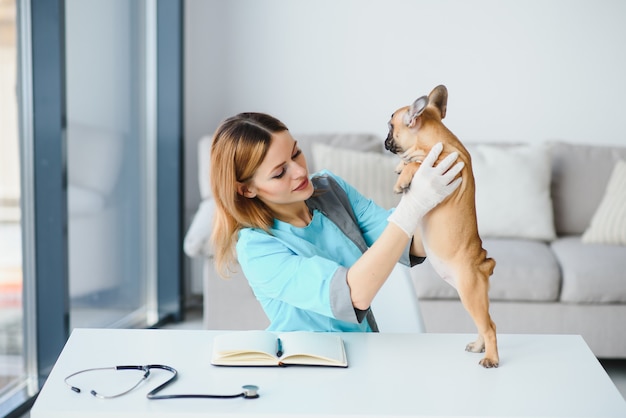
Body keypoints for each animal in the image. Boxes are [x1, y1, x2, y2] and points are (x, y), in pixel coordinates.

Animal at [380, 86, 498, 368]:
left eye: (390, 127)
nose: (384, 141)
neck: (435, 141)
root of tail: (484, 264)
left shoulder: (442, 167)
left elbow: (416, 164)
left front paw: (402, 179)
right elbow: (411, 161)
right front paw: (400, 167)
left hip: (470, 293)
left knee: (490, 327)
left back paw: (490, 358)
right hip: (473, 297)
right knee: (485, 323)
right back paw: (478, 346)